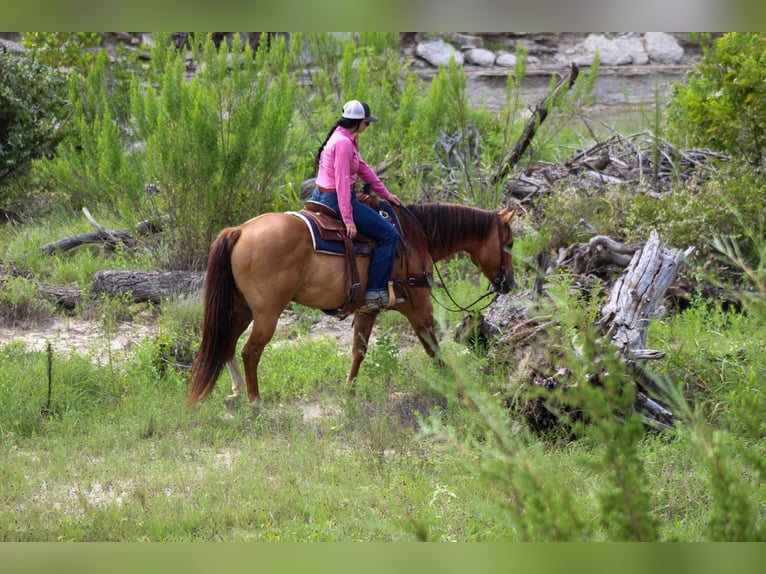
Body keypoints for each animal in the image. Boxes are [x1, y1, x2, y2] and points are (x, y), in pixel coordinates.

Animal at [187, 200, 517, 407]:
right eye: (510, 242)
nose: (510, 283)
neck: (415, 237)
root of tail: (240, 230)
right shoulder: (419, 307)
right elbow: (433, 349)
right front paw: (456, 390)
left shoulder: (367, 309)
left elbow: (359, 351)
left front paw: (349, 394)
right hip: (267, 313)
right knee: (250, 351)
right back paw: (256, 402)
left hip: (241, 308)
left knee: (227, 345)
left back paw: (235, 393)